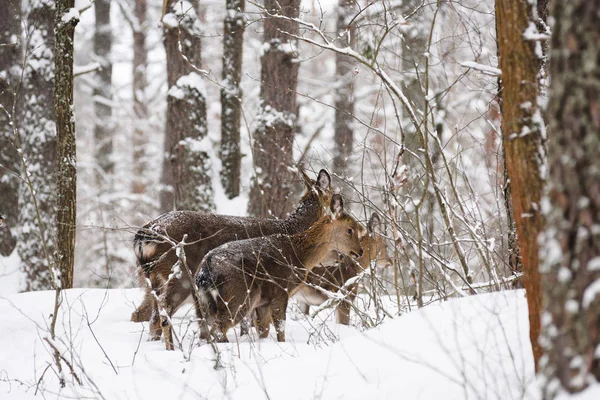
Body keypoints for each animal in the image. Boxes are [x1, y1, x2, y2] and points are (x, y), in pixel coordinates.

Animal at [131, 169, 332, 350]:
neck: (295, 234)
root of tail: (143, 237)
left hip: (154, 279)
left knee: (147, 313)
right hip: (180, 273)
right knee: (163, 309)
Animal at [197, 195, 364, 344]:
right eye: (350, 230)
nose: (360, 251)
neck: (300, 257)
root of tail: (205, 271)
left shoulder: (264, 302)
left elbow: (263, 330)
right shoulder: (281, 290)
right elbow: (280, 327)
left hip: (205, 302)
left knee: (206, 330)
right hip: (240, 295)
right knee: (218, 330)